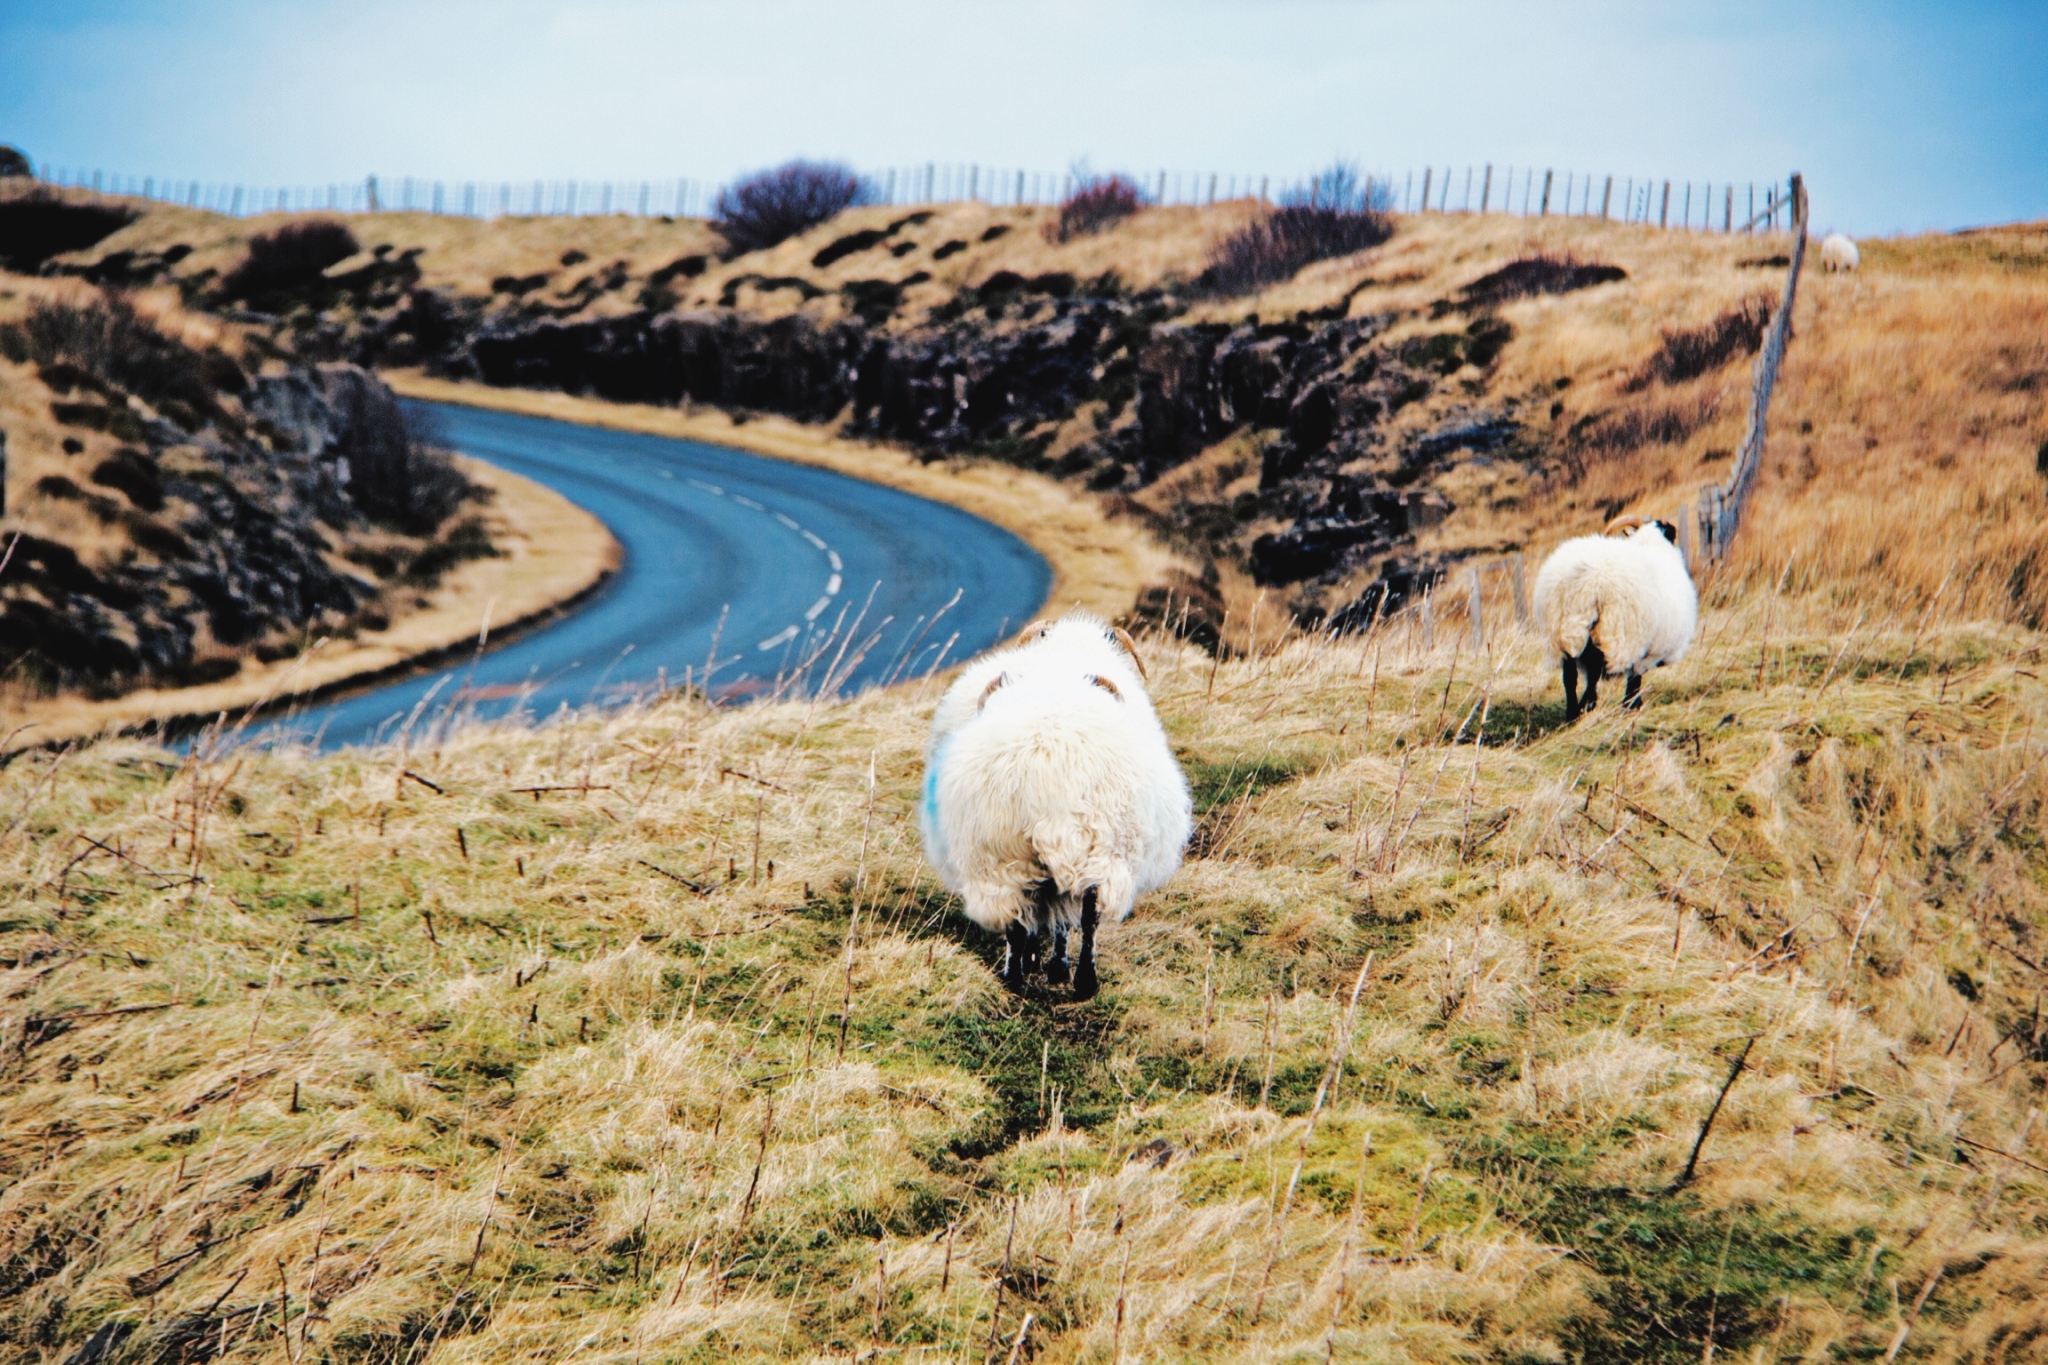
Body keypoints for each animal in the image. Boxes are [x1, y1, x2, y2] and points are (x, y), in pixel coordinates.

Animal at [921, 613, 1196, 998]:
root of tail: (1047, 764)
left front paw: (1041, 963)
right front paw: (1054, 966)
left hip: (1002, 853)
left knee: (1021, 915)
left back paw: (1018, 977)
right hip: (1097, 845)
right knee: (1086, 911)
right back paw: (1079, 980)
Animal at [1540, 515, 1695, 724]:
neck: (1652, 542)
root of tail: (1588, 582)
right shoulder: (1643, 647)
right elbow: (1635, 678)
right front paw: (1632, 706)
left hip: (1563, 633)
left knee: (1570, 676)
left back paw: (1573, 713)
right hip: (1614, 632)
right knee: (1595, 672)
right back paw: (1587, 706)